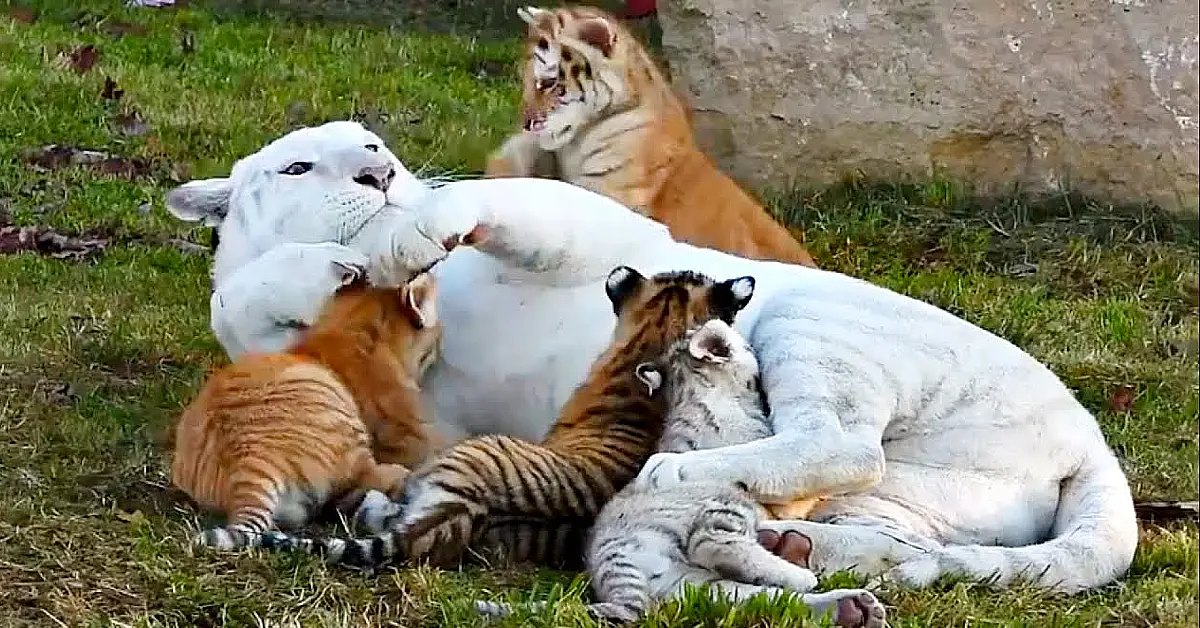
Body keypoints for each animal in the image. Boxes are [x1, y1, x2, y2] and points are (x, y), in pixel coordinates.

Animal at [166, 121, 1132, 600]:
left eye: (372, 144)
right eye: (298, 164)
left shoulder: (577, 225)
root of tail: (1089, 439)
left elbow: (478, 199)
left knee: (844, 440)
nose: (377, 172)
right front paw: (331, 262)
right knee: (874, 515)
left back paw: (677, 472)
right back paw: (781, 537)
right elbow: (239, 293)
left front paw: (395, 239)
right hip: (913, 498)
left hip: (816, 326)